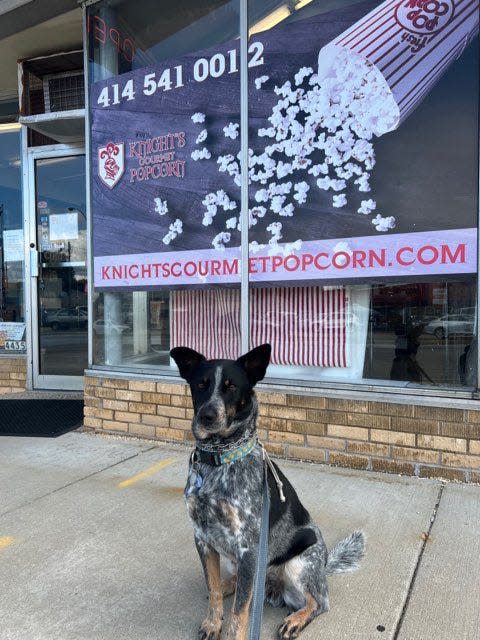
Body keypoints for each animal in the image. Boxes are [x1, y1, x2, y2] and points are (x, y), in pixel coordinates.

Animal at [171, 344, 366, 640]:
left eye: (231, 386)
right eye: (201, 385)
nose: (207, 416)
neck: (220, 458)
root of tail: (324, 564)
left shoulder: (247, 547)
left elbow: (240, 612)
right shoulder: (202, 538)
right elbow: (213, 590)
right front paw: (213, 623)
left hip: (299, 564)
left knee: (319, 602)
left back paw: (295, 619)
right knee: (238, 585)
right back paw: (230, 584)